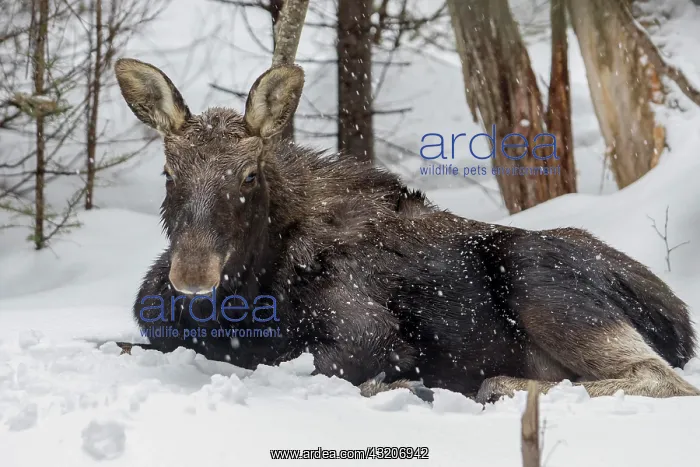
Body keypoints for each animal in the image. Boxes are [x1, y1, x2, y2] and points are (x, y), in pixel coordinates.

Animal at [114, 57, 700, 404]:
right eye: (169, 173)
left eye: (249, 174)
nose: (191, 274)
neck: (242, 299)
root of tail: (679, 319)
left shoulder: (367, 332)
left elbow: (326, 368)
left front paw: (406, 383)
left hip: (539, 282)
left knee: (663, 378)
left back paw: (498, 385)